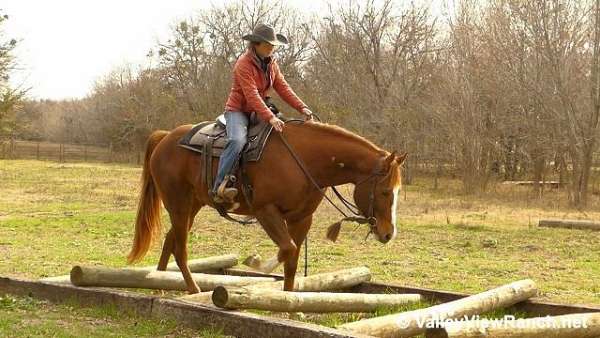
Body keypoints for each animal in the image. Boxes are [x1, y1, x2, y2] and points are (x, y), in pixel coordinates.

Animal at [126, 121, 408, 294]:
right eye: (385, 191)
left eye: (397, 191)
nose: (388, 233)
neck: (304, 159)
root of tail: (165, 137)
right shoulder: (266, 211)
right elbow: (286, 249)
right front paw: (256, 263)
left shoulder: (302, 219)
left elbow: (292, 262)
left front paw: (290, 302)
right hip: (178, 204)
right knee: (180, 249)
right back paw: (193, 289)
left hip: (191, 205)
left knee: (170, 241)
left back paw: (162, 283)